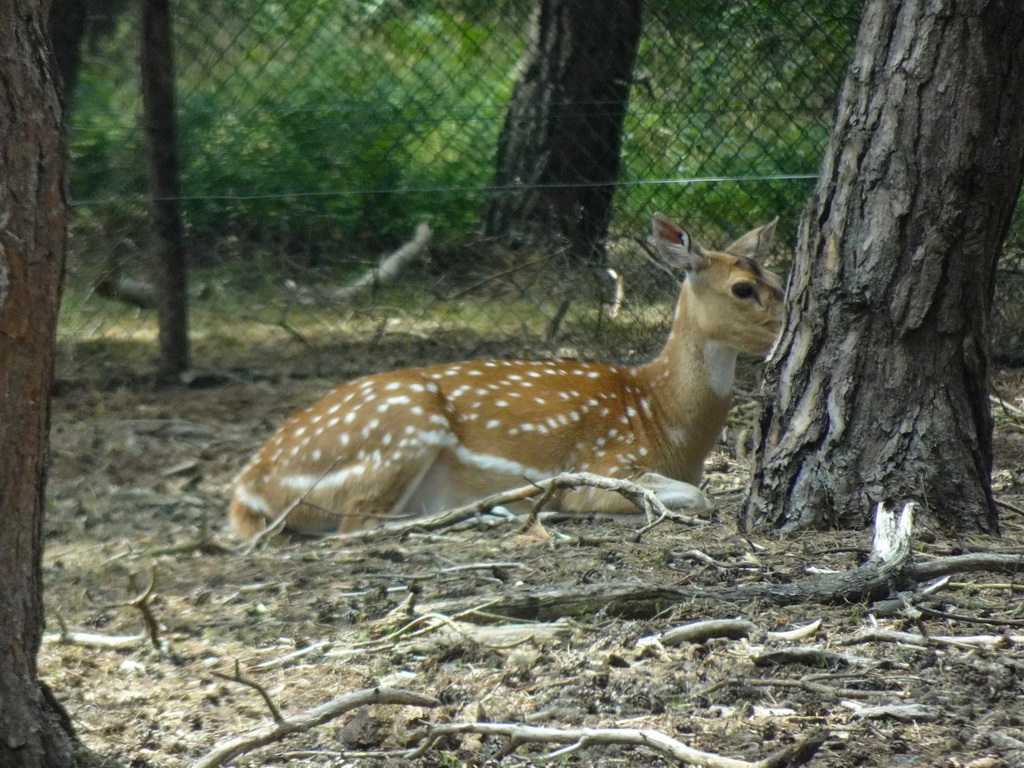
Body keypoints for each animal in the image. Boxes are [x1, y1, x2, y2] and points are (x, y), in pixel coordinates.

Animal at [228, 214, 778, 536]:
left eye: (776, 277)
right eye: (742, 288)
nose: (785, 327)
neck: (664, 419)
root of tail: (247, 486)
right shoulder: (609, 460)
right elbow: (695, 496)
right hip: (401, 434)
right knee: (359, 526)